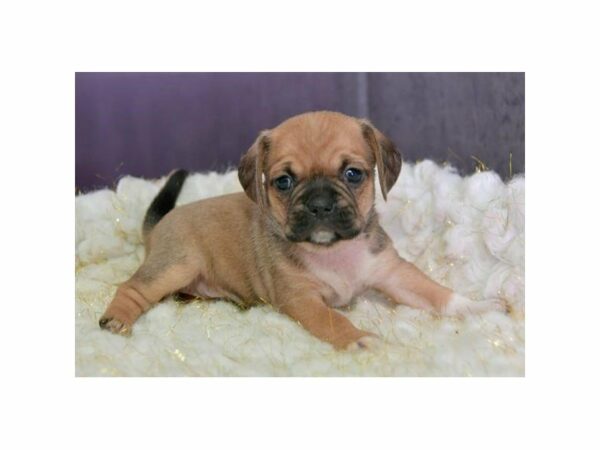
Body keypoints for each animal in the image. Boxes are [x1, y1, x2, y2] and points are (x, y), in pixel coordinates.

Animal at [98, 110, 502, 350]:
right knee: (133, 288)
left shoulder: (393, 273)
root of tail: (159, 227)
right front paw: (359, 340)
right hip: (175, 265)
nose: (320, 204)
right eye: (284, 181)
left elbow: (436, 293)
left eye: (352, 174)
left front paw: (478, 308)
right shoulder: (303, 299)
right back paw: (117, 318)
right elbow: (333, 320)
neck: (334, 251)